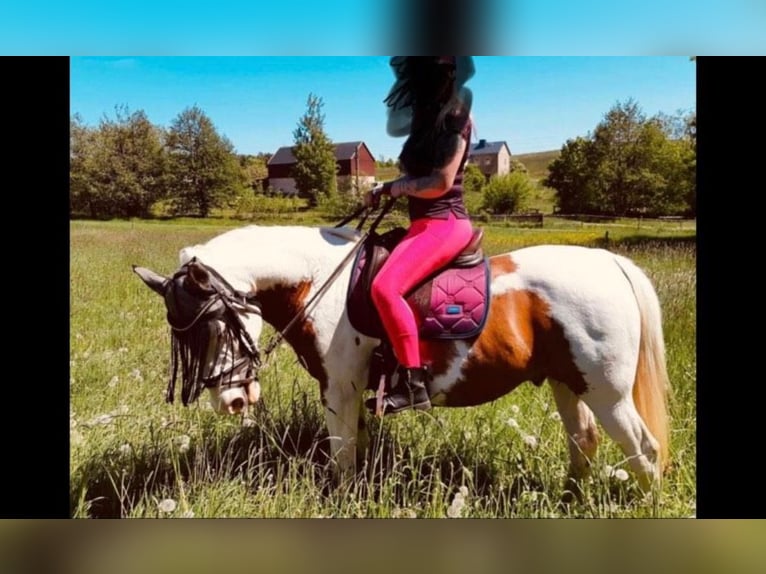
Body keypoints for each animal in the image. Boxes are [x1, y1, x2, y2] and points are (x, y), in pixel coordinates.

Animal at [133, 221, 670, 494]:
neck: (320, 279)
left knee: (645, 451)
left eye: (213, 322)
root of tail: (610, 263)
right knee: (584, 442)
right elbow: (359, 450)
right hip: (568, 383)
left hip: (608, 393)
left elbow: (343, 456)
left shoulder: (339, 389)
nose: (232, 401)